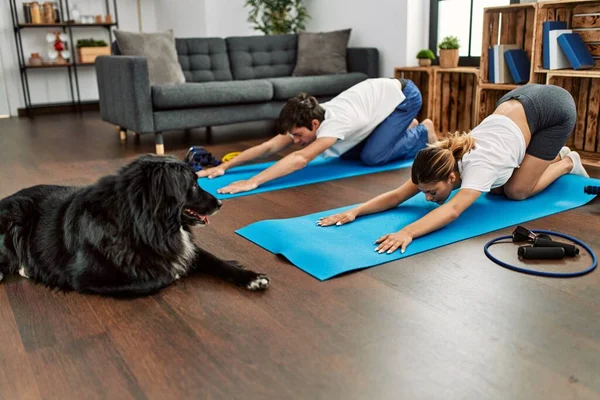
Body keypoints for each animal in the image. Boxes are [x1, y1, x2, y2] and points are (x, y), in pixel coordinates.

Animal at [0, 155, 268, 296]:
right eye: (193, 185)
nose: (220, 203)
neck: (146, 225)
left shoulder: (182, 246)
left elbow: (214, 259)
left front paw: (251, 277)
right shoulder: (85, 277)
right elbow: (157, 278)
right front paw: (174, 272)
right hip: (16, 216)